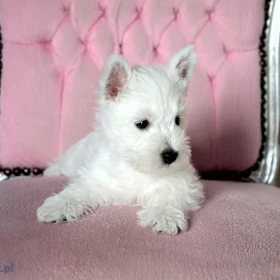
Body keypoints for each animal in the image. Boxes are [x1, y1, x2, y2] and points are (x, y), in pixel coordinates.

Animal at [36, 44, 203, 235]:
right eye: (142, 123)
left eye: (177, 120)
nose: (171, 155)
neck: (136, 167)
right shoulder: (95, 178)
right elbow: (77, 191)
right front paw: (57, 206)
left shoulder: (182, 181)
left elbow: (170, 194)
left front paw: (165, 216)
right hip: (71, 160)